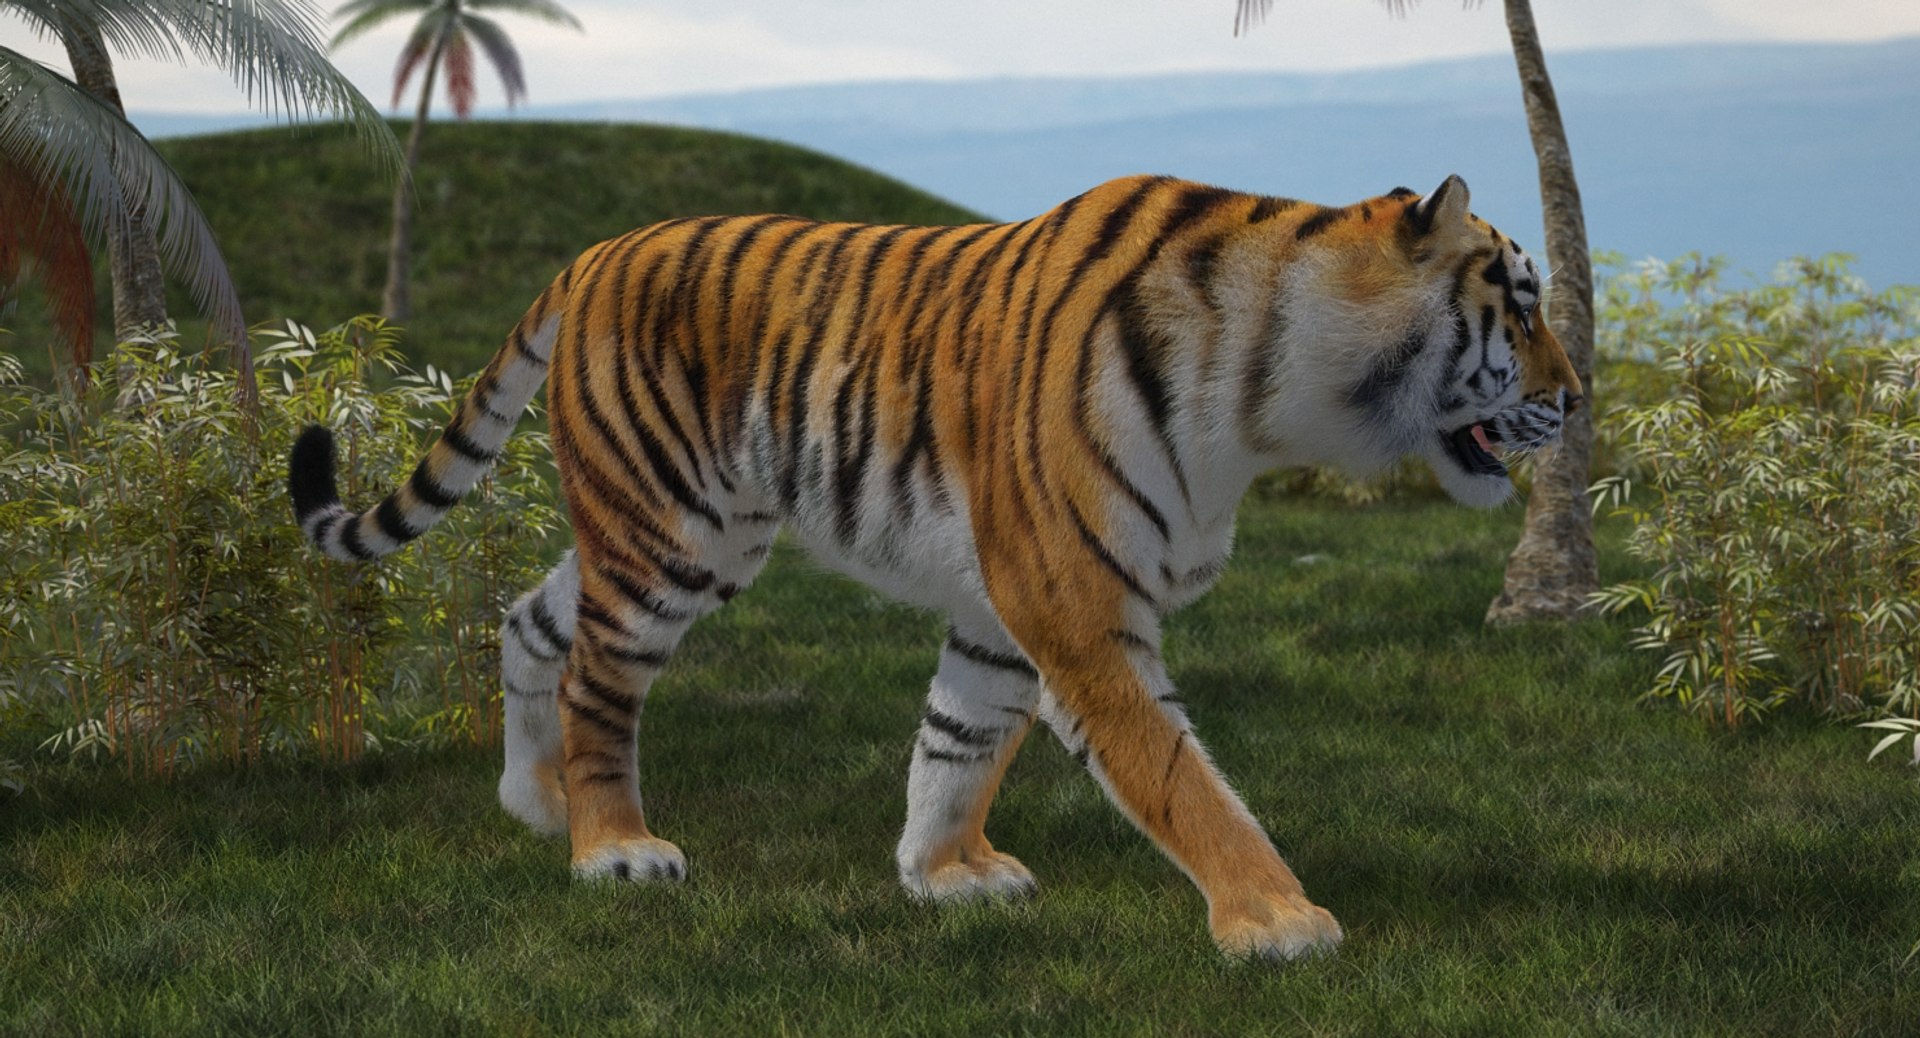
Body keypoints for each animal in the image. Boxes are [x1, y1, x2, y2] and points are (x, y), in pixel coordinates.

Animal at [289, 173, 1581, 960]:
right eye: (1519, 311)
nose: (1576, 399)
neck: (1271, 404)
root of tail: (597, 251)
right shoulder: (1078, 606)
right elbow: (1181, 777)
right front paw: (1280, 921)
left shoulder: (1004, 609)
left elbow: (959, 742)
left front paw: (944, 873)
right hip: (668, 535)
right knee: (599, 683)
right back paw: (613, 849)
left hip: (686, 534)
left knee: (532, 621)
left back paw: (534, 804)